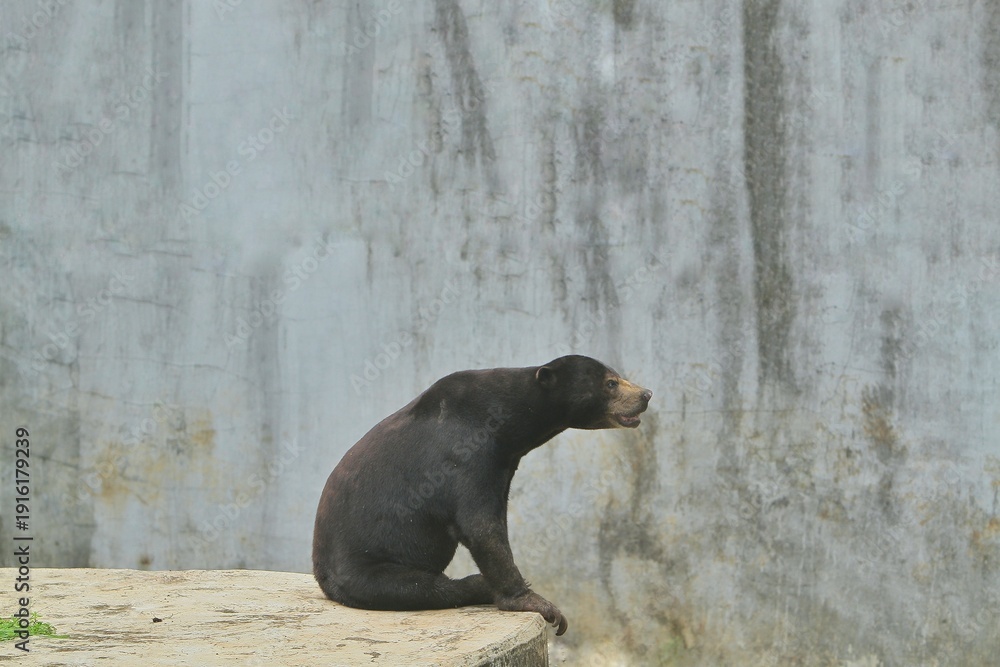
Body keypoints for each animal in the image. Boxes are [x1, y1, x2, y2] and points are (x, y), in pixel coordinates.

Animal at [312, 355, 652, 635]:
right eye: (611, 383)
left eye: (617, 376)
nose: (646, 395)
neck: (509, 427)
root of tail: (322, 575)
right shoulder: (463, 457)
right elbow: (481, 527)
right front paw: (541, 605)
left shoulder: (503, 465)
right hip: (368, 567)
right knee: (423, 587)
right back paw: (477, 585)